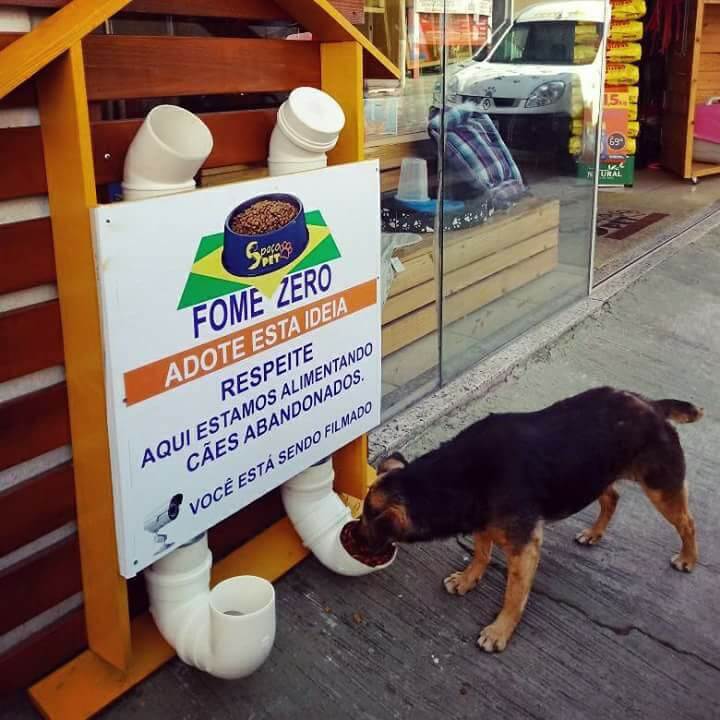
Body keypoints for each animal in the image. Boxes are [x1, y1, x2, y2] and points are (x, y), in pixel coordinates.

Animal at [360, 388, 704, 652]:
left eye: (365, 522)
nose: (352, 535)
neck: (456, 477)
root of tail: (652, 405)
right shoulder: (482, 522)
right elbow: (481, 555)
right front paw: (468, 579)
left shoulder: (524, 548)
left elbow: (514, 595)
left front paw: (499, 631)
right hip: (594, 475)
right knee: (612, 498)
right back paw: (594, 533)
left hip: (662, 489)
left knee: (687, 523)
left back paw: (688, 558)